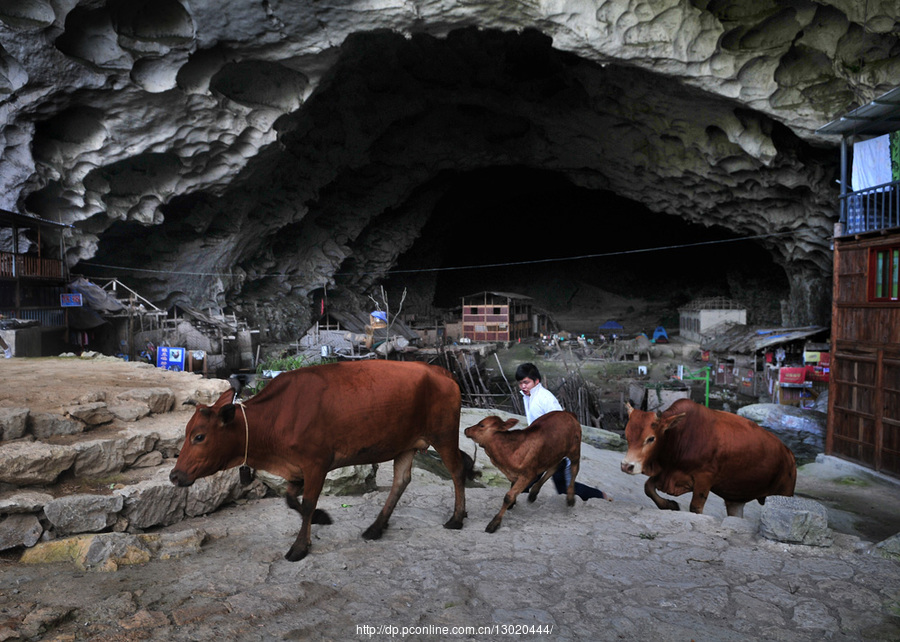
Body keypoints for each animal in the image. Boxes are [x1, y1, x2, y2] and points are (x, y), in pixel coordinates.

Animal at [171, 360, 474, 560]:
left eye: (199, 436)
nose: (174, 475)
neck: (275, 419)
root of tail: (438, 370)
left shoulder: (316, 463)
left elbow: (305, 504)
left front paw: (299, 547)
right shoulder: (296, 468)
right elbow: (291, 499)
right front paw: (322, 517)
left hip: (444, 434)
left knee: (457, 470)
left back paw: (456, 518)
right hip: (404, 444)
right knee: (401, 481)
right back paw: (376, 527)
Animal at [620, 398, 796, 516]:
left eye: (651, 438)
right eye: (627, 435)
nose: (627, 466)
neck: (679, 436)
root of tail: (789, 454)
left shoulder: (704, 479)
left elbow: (695, 508)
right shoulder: (667, 472)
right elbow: (648, 488)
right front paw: (670, 505)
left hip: (785, 492)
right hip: (736, 501)